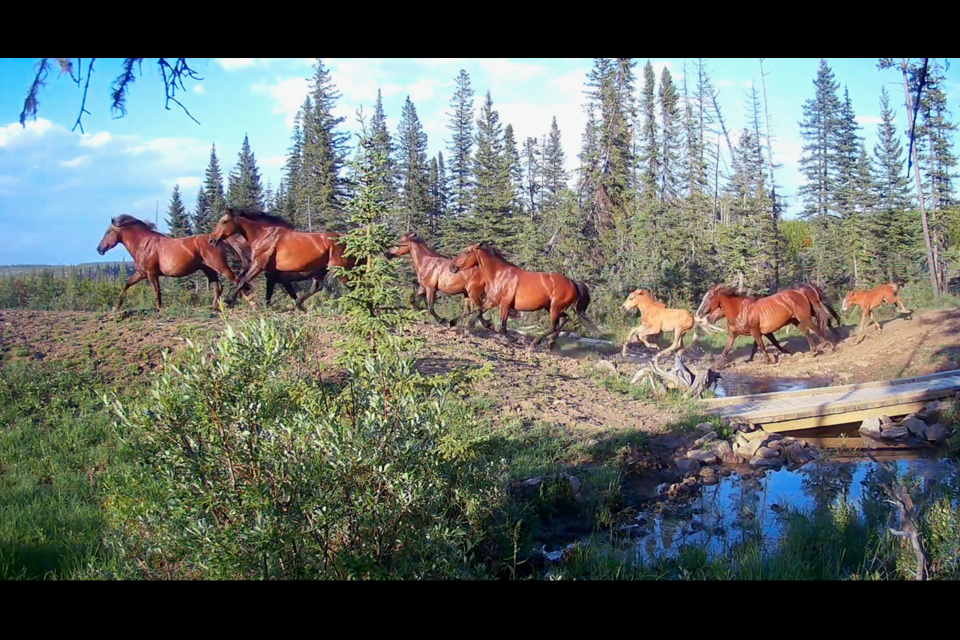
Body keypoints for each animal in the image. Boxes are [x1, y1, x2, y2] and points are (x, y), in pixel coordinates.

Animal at [96, 215, 255, 312]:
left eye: (108, 231)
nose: (99, 249)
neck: (144, 244)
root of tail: (218, 239)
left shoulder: (151, 274)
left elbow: (157, 290)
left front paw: (159, 308)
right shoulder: (142, 273)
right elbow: (127, 284)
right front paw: (116, 307)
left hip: (219, 266)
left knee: (237, 280)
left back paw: (247, 302)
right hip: (209, 270)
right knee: (218, 286)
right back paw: (215, 307)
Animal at [208, 209, 354, 312]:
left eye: (224, 221)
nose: (211, 240)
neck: (264, 237)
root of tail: (346, 240)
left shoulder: (259, 266)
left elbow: (242, 281)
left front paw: (228, 301)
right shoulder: (274, 276)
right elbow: (271, 293)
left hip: (340, 270)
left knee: (352, 287)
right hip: (322, 271)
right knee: (317, 287)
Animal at [446, 241, 596, 350]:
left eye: (467, 252)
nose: (451, 266)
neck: (499, 275)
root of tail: (573, 282)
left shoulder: (505, 304)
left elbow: (502, 327)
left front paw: (513, 339)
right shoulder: (492, 301)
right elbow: (479, 313)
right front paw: (467, 324)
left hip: (555, 307)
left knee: (554, 325)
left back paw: (536, 342)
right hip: (551, 307)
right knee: (565, 319)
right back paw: (550, 342)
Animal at [696, 284, 832, 364]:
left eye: (710, 297)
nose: (701, 313)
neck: (740, 311)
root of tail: (800, 293)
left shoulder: (755, 331)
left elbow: (761, 346)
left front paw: (769, 360)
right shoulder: (735, 334)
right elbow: (727, 349)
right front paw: (718, 365)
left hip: (804, 317)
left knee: (816, 329)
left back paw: (827, 345)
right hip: (795, 320)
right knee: (807, 331)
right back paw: (813, 350)